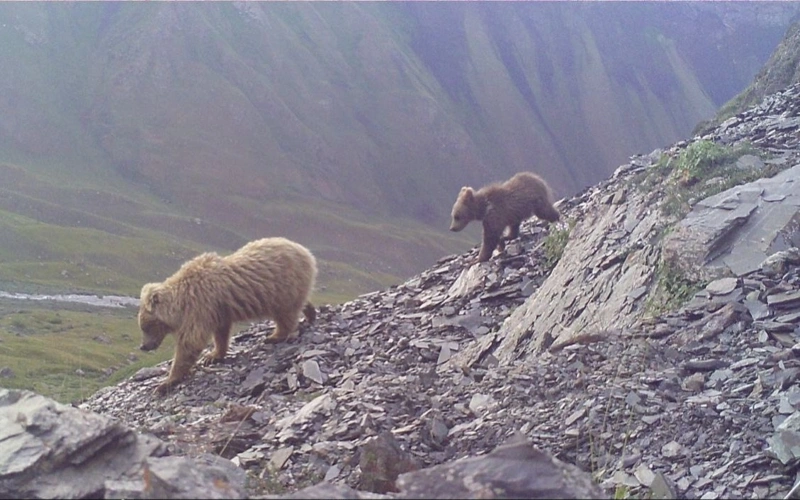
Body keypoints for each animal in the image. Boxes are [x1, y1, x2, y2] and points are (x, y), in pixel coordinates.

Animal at [138, 237, 317, 396]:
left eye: (145, 327)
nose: (143, 346)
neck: (180, 303)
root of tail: (306, 251)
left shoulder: (199, 307)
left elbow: (190, 343)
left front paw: (165, 383)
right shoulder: (216, 311)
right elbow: (220, 333)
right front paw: (213, 355)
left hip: (282, 287)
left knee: (284, 314)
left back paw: (274, 336)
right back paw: (310, 314)